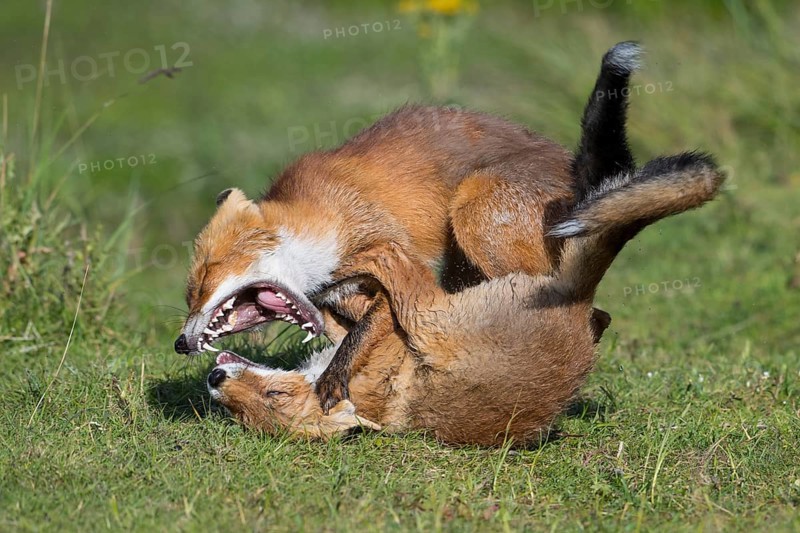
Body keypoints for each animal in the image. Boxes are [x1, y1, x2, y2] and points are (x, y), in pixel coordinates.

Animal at [176, 42, 643, 412]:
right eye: (190, 294)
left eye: (202, 282)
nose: (179, 343)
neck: (325, 221)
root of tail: (573, 170)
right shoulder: (344, 292)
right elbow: (354, 329)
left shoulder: (392, 255)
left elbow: (358, 337)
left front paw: (333, 379)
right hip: (463, 265)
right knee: (598, 315)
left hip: (475, 214)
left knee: (589, 311)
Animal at [205, 153, 726, 445]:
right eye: (244, 415)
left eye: (274, 395)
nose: (213, 379)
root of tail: (574, 307)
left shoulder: (372, 340)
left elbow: (351, 323)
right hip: (431, 316)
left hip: (433, 305)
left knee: (397, 262)